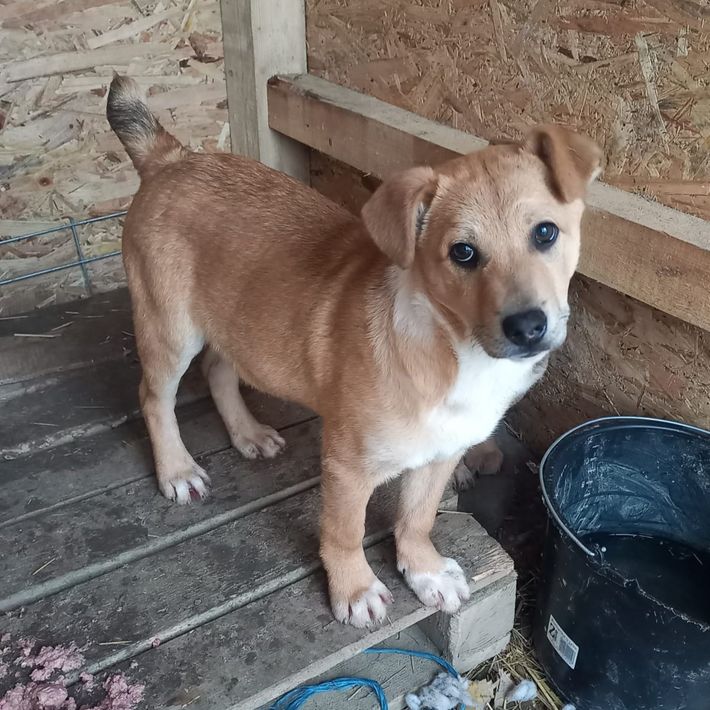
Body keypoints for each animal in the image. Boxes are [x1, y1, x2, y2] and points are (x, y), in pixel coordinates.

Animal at [107, 75, 601, 627]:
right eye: (463, 253)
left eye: (546, 232)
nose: (528, 327)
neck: (455, 352)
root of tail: (172, 158)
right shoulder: (347, 466)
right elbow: (345, 532)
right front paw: (355, 589)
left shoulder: (442, 452)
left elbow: (418, 518)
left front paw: (425, 571)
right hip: (170, 328)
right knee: (154, 398)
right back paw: (176, 470)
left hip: (229, 322)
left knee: (218, 369)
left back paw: (248, 433)